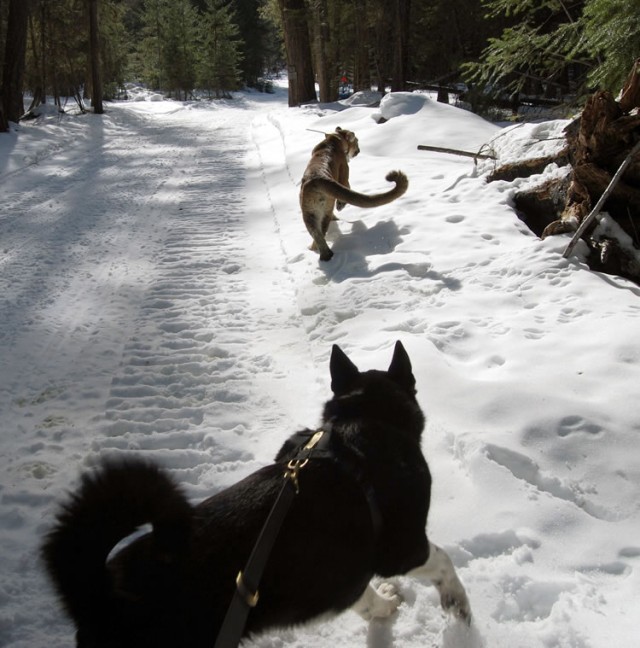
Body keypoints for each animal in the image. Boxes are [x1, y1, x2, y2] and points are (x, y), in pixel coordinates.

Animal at [41, 342, 470, 644]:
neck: (363, 417)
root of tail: (98, 593)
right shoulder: (404, 547)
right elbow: (444, 563)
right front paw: (459, 606)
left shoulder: (345, 573)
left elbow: (363, 598)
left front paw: (384, 607)